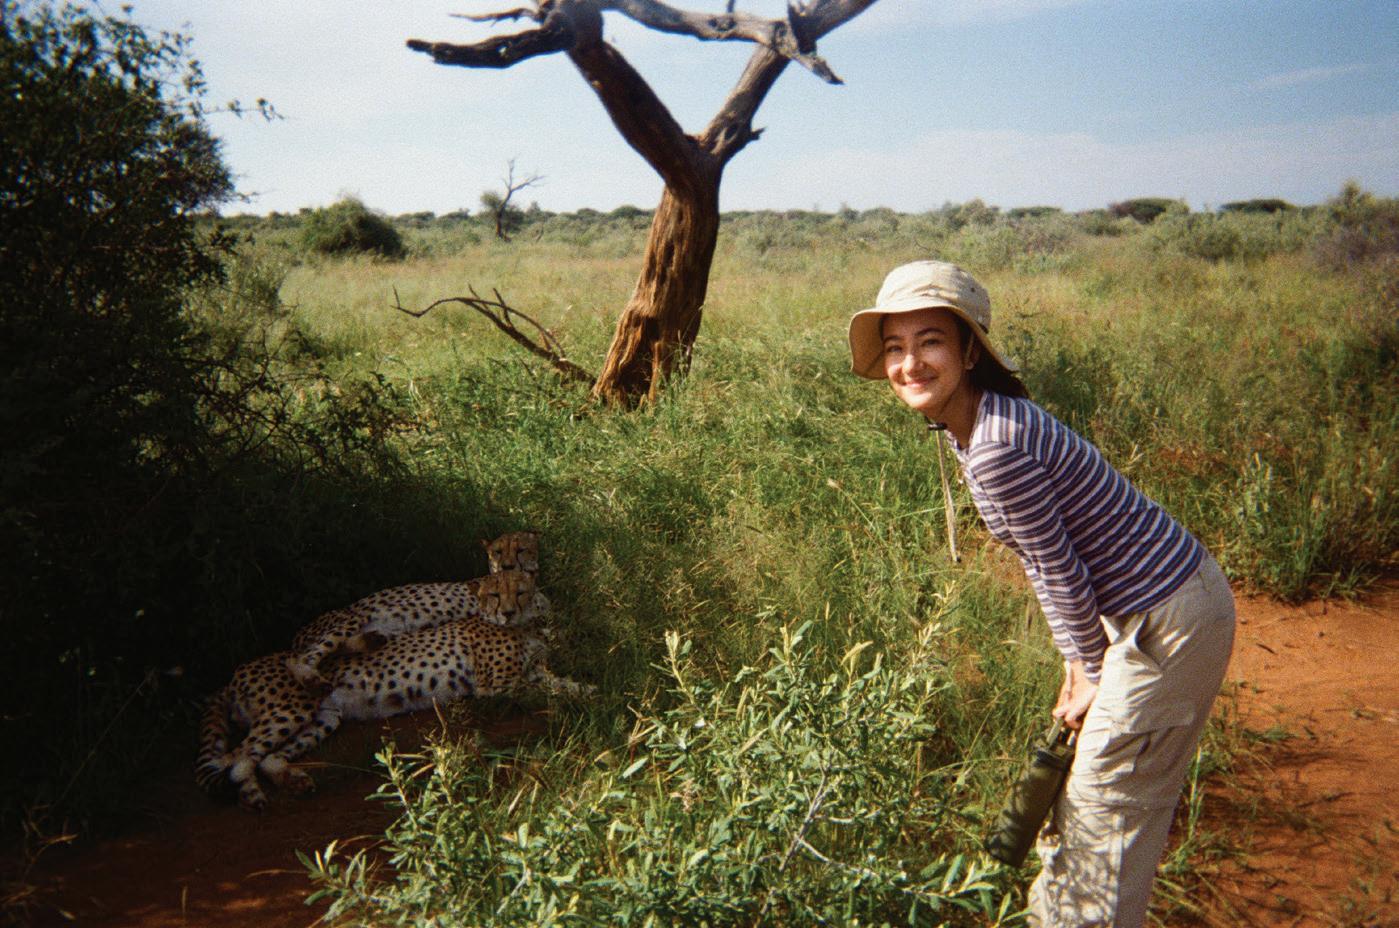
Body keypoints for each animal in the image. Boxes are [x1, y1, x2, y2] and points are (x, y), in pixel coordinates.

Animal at [197, 615, 593, 809]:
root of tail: (233, 675)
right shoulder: (496, 685)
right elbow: (544, 689)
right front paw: (583, 696)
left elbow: (559, 681)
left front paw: (588, 688)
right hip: (289, 708)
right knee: (234, 757)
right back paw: (252, 795)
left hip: (324, 716)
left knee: (264, 757)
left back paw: (292, 781)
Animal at [285, 566, 549, 689]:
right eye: (496, 596)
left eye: (519, 593)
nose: (508, 612)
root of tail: (298, 631)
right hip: (352, 618)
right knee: (301, 656)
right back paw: (310, 677)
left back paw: (371, 640)